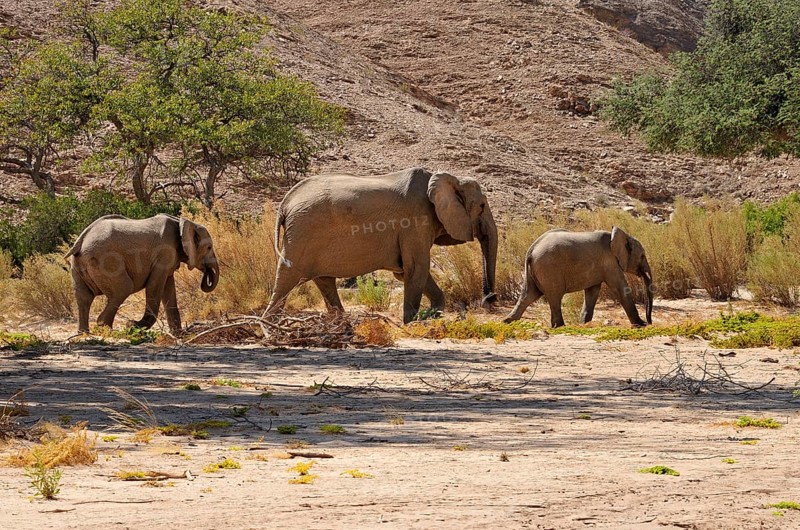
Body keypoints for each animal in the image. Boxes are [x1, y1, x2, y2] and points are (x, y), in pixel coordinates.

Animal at [65, 214, 219, 334]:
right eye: (209, 247)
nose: (206, 275)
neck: (182, 222)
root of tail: (81, 239)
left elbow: (169, 288)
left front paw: (179, 334)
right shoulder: (164, 253)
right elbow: (154, 286)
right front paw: (133, 326)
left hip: (78, 264)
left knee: (83, 297)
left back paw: (84, 334)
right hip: (105, 261)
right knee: (123, 289)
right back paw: (106, 330)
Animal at [266, 167, 498, 323]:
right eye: (482, 205)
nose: (490, 299)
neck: (448, 178)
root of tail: (285, 203)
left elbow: (406, 272)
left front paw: (432, 315)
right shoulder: (415, 222)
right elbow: (417, 268)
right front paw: (413, 322)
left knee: (324, 281)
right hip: (302, 234)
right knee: (287, 279)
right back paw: (268, 326)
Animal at [503, 227, 653, 327]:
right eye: (642, 256)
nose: (649, 321)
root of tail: (531, 249)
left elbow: (592, 292)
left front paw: (584, 324)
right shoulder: (610, 263)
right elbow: (621, 288)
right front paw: (640, 325)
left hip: (534, 271)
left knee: (529, 295)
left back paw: (507, 322)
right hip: (549, 269)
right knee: (554, 296)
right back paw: (560, 326)